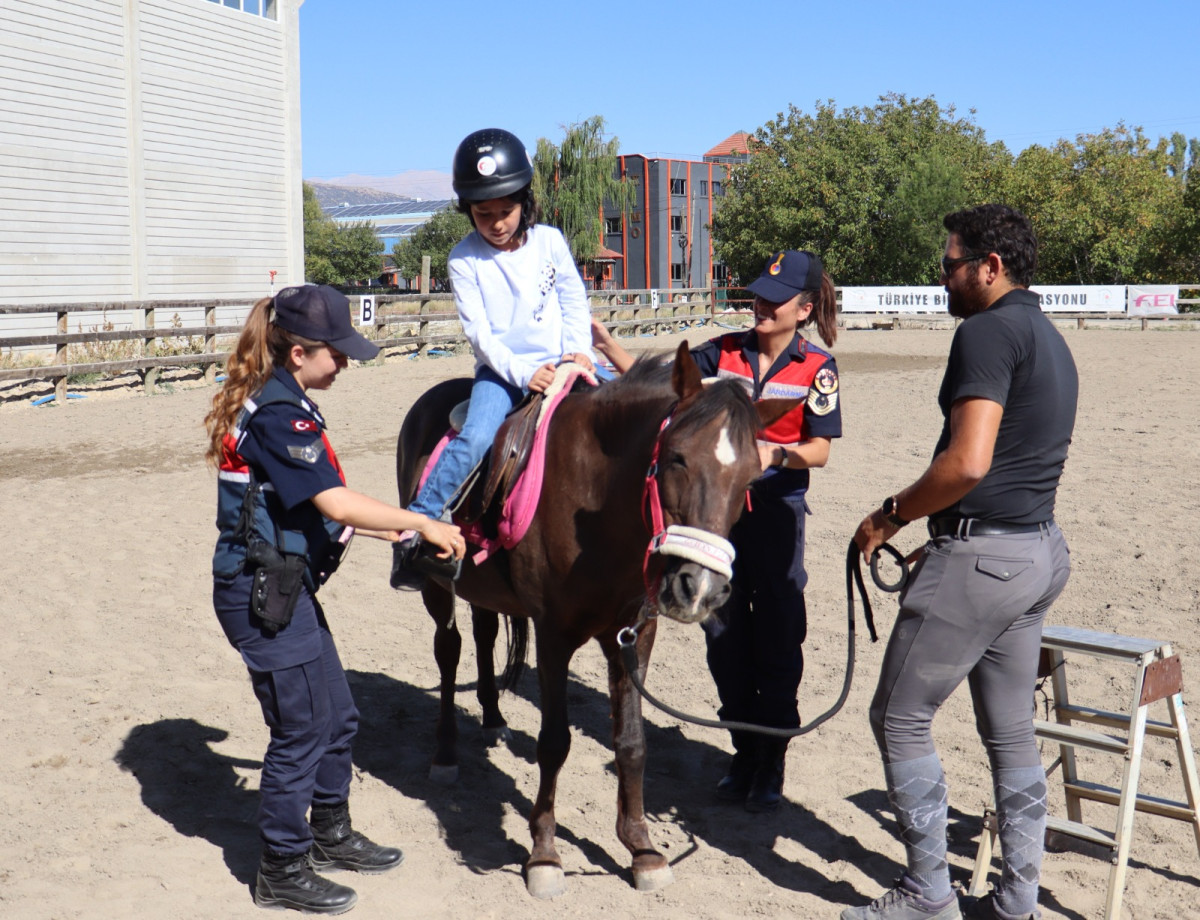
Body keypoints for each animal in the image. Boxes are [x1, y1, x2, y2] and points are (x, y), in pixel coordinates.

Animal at [388, 345, 792, 902]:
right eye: (676, 457)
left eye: (752, 478)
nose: (700, 589)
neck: (597, 500)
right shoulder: (554, 635)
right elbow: (554, 743)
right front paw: (544, 855)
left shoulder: (633, 636)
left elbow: (632, 743)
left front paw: (642, 848)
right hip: (435, 584)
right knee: (448, 652)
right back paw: (445, 753)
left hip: (482, 588)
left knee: (485, 635)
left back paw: (492, 718)